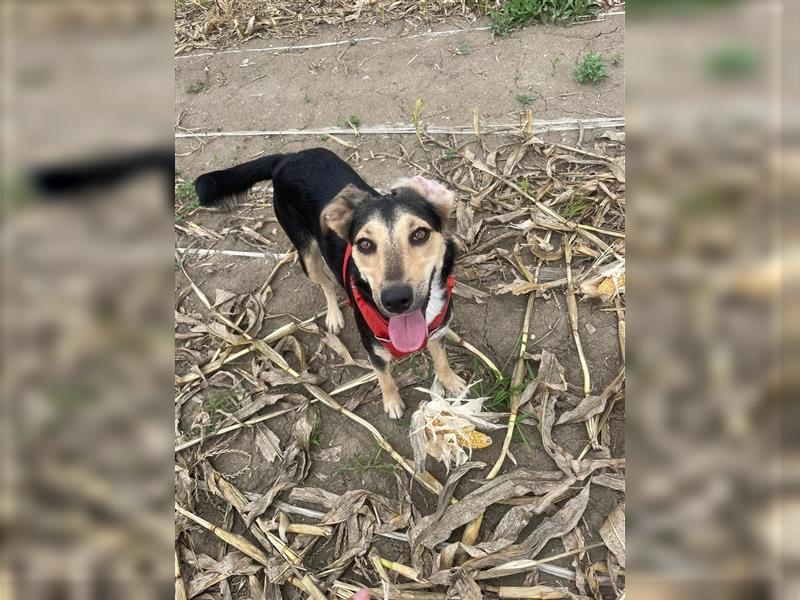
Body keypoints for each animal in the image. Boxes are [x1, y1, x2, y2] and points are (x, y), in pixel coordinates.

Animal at [195, 146, 466, 418]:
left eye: (420, 234)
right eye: (365, 244)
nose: (396, 300)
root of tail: (287, 157)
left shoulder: (437, 333)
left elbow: (441, 360)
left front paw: (451, 382)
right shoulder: (374, 353)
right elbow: (384, 378)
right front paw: (392, 403)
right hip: (307, 254)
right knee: (325, 282)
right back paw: (334, 315)